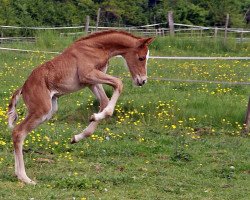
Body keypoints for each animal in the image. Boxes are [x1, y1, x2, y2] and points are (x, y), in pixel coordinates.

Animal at [7, 30, 153, 184]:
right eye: (141, 58)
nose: (142, 81)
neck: (96, 47)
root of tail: (23, 87)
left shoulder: (91, 82)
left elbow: (104, 101)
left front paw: (78, 135)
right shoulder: (87, 75)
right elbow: (118, 83)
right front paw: (96, 116)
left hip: (48, 111)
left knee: (20, 133)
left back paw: (19, 175)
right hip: (41, 110)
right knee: (18, 132)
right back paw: (25, 178)